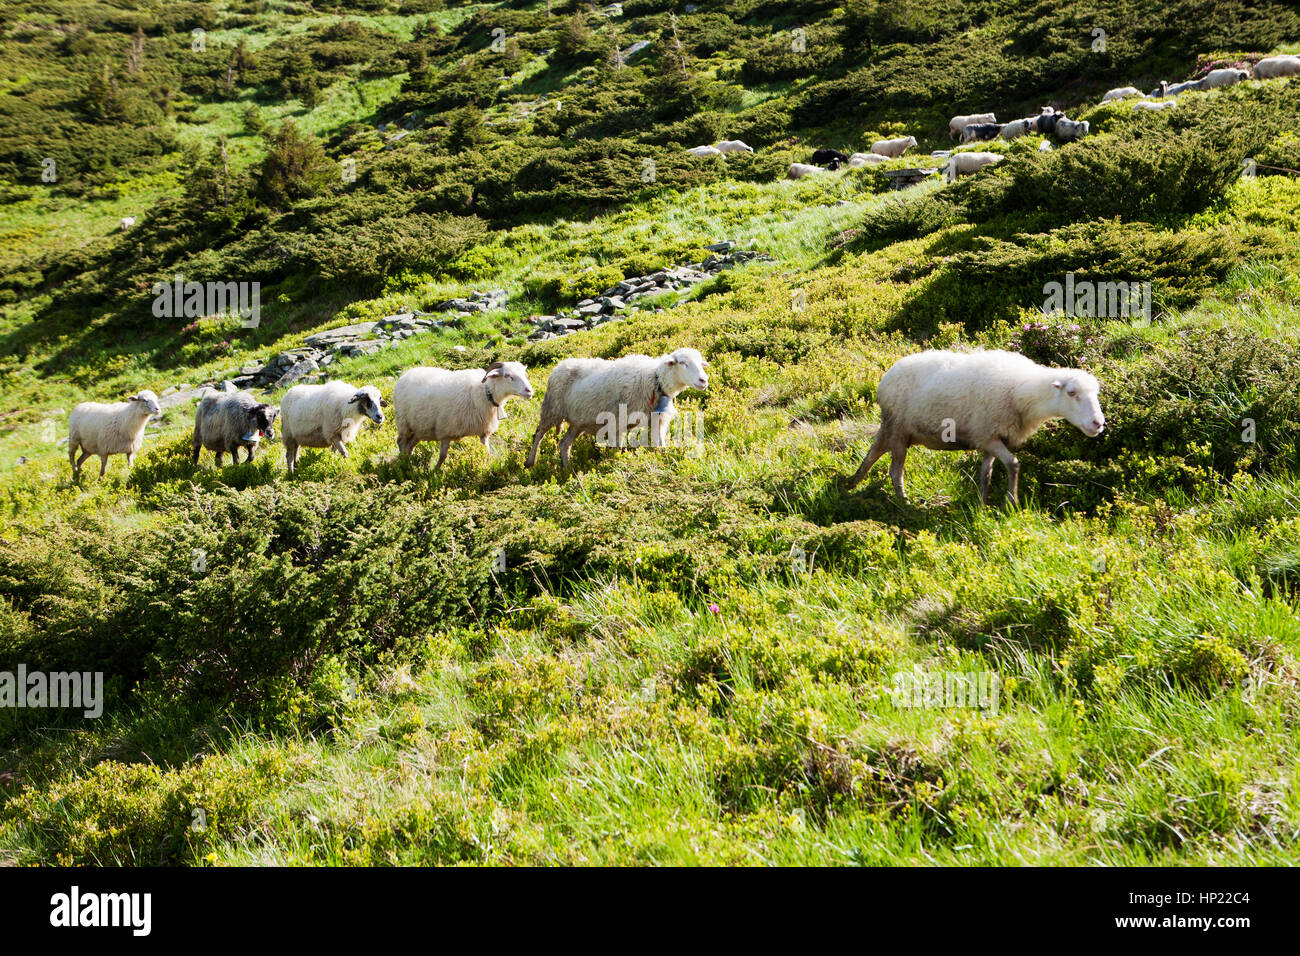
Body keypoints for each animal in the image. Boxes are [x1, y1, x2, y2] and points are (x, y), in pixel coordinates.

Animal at [394, 361, 534, 468]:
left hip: (420, 428)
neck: (485, 393)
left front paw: (488, 467)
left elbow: (487, 451)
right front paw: (435, 473)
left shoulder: (483, 432)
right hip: (403, 422)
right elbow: (443, 456)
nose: (529, 391)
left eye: (525, 374)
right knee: (401, 442)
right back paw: (404, 464)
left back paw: (409, 461)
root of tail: (406, 373)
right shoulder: (445, 431)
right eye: (507, 375)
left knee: (409, 445)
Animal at [525, 348, 708, 470]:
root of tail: (560, 364)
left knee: (564, 443)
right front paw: (616, 464)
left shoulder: (657, 421)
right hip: (551, 409)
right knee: (539, 434)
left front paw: (666, 461)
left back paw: (568, 469)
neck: (655, 380)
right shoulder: (617, 422)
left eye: (701, 363)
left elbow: (660, 445)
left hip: (577, 422)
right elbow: (618, 449)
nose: (703, 380)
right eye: (683, 363)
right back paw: (530, 462)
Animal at [844, 349, 1105, 505]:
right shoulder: (988, 436)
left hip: (894, 427)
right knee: (895, 470)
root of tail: (885, 378)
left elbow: (986, 474)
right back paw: (903, 501)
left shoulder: (990, 437)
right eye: (1072, 393)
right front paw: (1012, 501)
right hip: (898, 429)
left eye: (1096, 394)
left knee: (873, 452)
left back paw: (852, 482)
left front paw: (981, 503)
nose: (1098, 423)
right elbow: (1014, 464)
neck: (1020, 392)